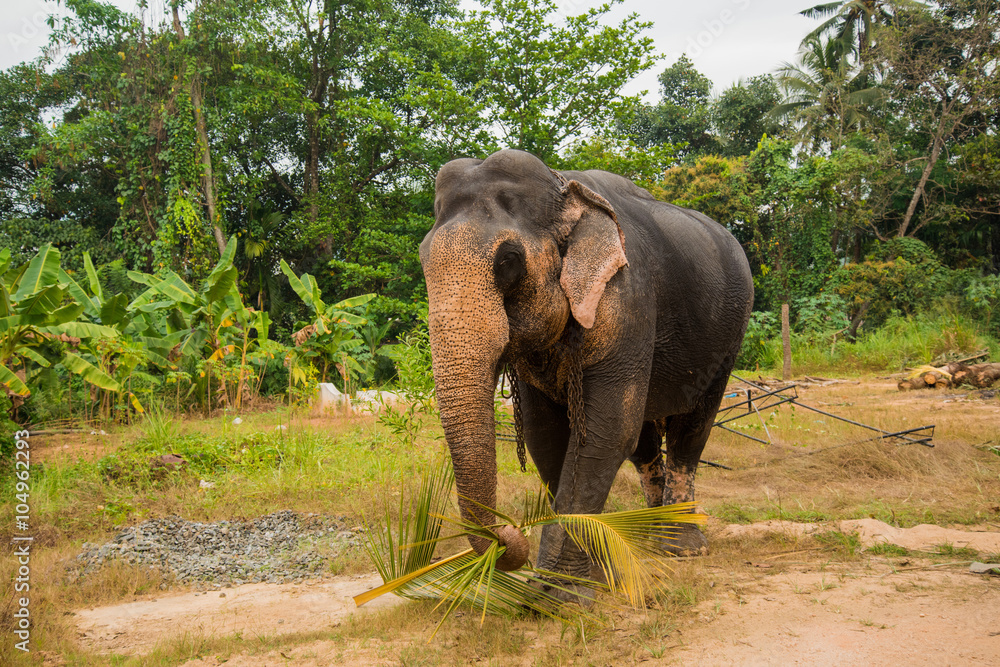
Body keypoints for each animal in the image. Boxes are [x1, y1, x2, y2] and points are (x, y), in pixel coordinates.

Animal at [419, 149, 753, 602]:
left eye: (508, 262)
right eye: (422, 259)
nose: (511, 539)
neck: (563, 186)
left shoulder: (628, 297)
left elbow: (604, 431)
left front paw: (561, 596)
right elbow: (547, 437)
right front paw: (576, 579)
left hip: (728, 339)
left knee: (691, 429)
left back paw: (681, 547)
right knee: (644, 441)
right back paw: (647, 540)